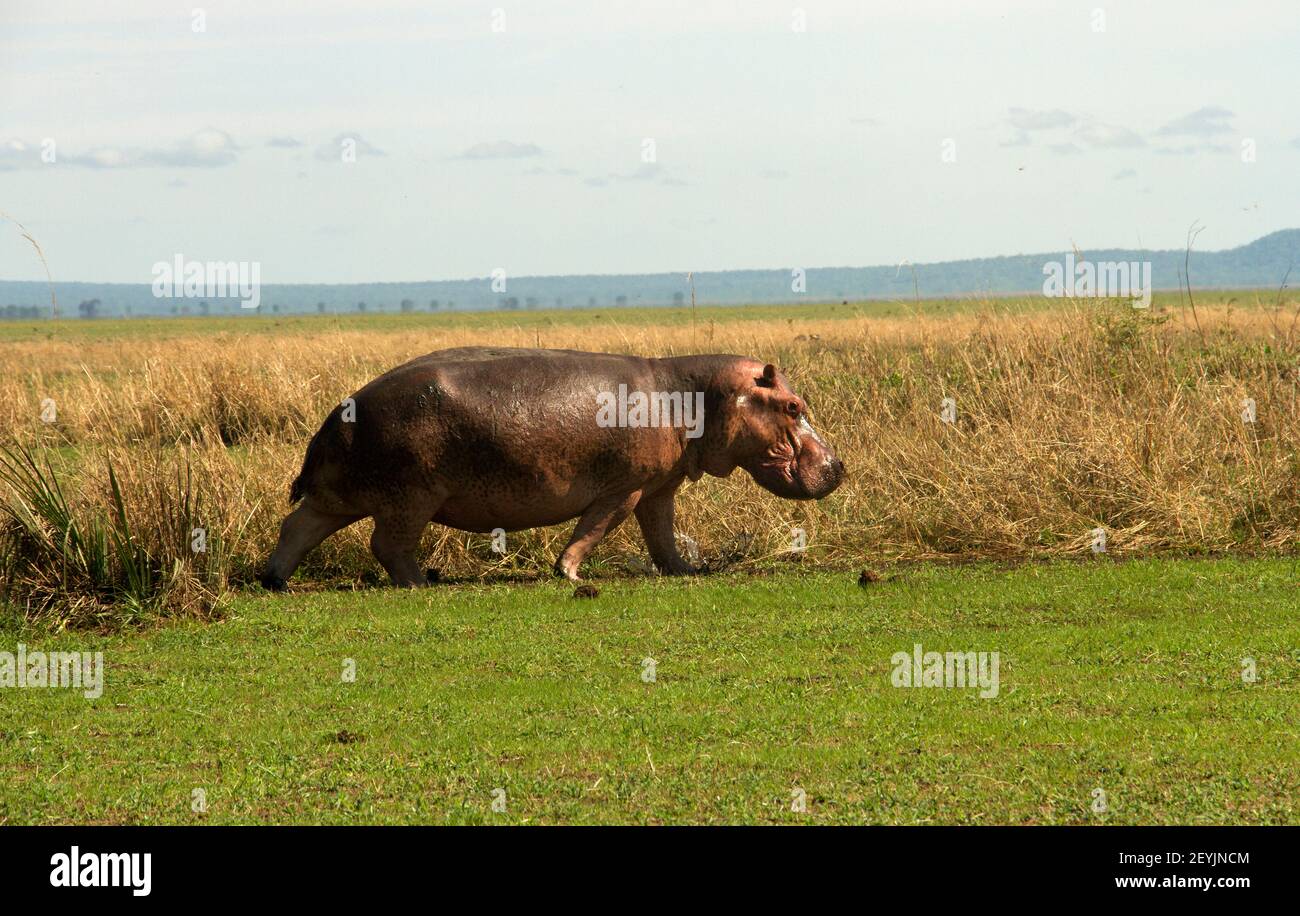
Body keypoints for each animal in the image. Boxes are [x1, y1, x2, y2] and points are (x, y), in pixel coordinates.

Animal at [260, 347, 844, 589]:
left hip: (340, 496)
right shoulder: (624, 488)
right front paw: (569, 572)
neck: (697, 394)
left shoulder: (659, 487)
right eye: (794, 405)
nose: (838, 464)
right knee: (386, 544)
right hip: (410, 498)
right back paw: (420, 583)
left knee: (298, 526)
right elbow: (595, 529)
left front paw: (685, 571)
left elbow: (662, 535)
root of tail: (336, 416)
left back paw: (275, 581)